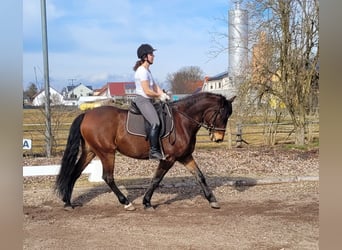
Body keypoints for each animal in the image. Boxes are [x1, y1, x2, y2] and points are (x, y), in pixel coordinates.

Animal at [55, 93, 235, 210]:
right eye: (221, 114)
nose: (218, 138)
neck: (182, 121)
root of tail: (86, 114)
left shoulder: (185, 156)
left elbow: (200, 176)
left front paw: (212, 200)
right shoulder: (168, 158)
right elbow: (156, 179)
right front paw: (147, 202)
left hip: (90, 151)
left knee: (75, 173)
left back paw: (67, 202)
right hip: (106, 153)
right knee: (108, 177)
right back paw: (126, 203)